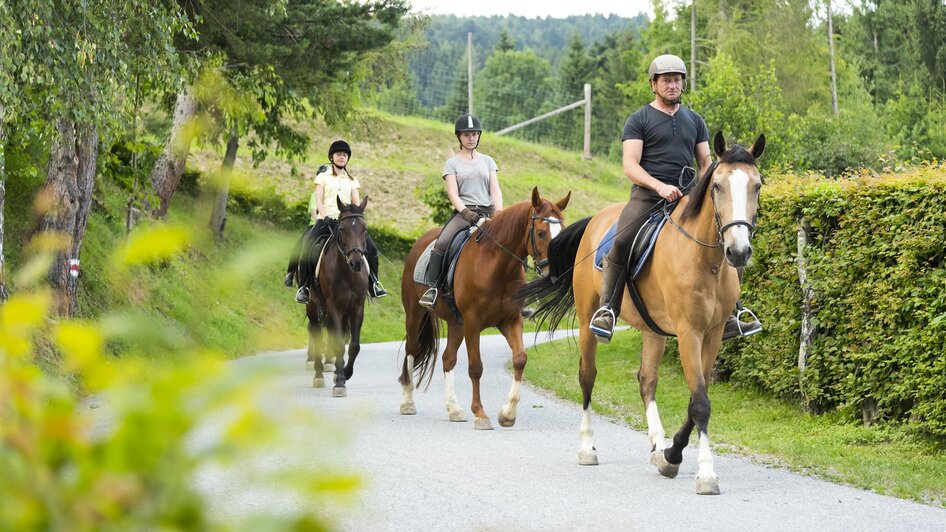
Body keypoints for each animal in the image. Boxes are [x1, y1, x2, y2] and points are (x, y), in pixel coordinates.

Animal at [306, 195, 372, 394]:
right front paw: (341, 382)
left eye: (364, 229)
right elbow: (338, 344)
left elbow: (354, 346)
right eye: (342, 229)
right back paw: (319, 375)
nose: (356, 262)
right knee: (315, 331)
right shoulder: (333, 306)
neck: (347, 273)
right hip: (312, 304)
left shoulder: (357, 308)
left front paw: (345, 373)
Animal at [396, 187, 568, 428]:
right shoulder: (473, 323)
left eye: (562, 231)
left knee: (448, 359)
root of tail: (420, 242)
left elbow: (520, 359)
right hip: (415, 314)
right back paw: (407, 403)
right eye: (542, 233)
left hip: (456, 324)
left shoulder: (510, 321)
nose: (556, 274)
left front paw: (507, 414)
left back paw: (454, 409)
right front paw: (480, 414)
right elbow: (476, 367)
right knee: (412, 350)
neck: (497, 266)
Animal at [516, 134, 768, 494]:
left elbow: (696, 398)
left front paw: (672, 454)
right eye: (717, 186)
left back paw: (657, 445)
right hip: (587, 321)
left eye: (757, 186)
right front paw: (706, 474)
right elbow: (701, 402)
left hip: (654, 330)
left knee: (647, 380)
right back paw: (587, 447)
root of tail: (596, 220)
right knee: (587, 376)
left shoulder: (715, 333)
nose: (739, 251)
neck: (705, 260)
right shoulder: (689, 331)